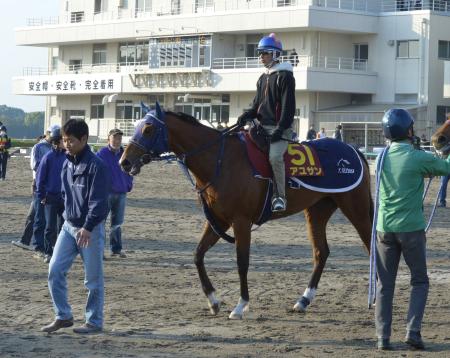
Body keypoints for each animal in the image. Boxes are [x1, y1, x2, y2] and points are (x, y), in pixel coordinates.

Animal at [119, 105, 372, 318]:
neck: (220, 160)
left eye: (148, 129)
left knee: (371, 246)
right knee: (321, 252)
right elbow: (198, 255)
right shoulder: (218, 221)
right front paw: (213, 301)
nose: (124, 161)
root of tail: (355, 151)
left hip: (357, 209)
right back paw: (303, 300)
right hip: (317, 211)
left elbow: (242, 262)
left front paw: (241, 305)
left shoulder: (241, 222)